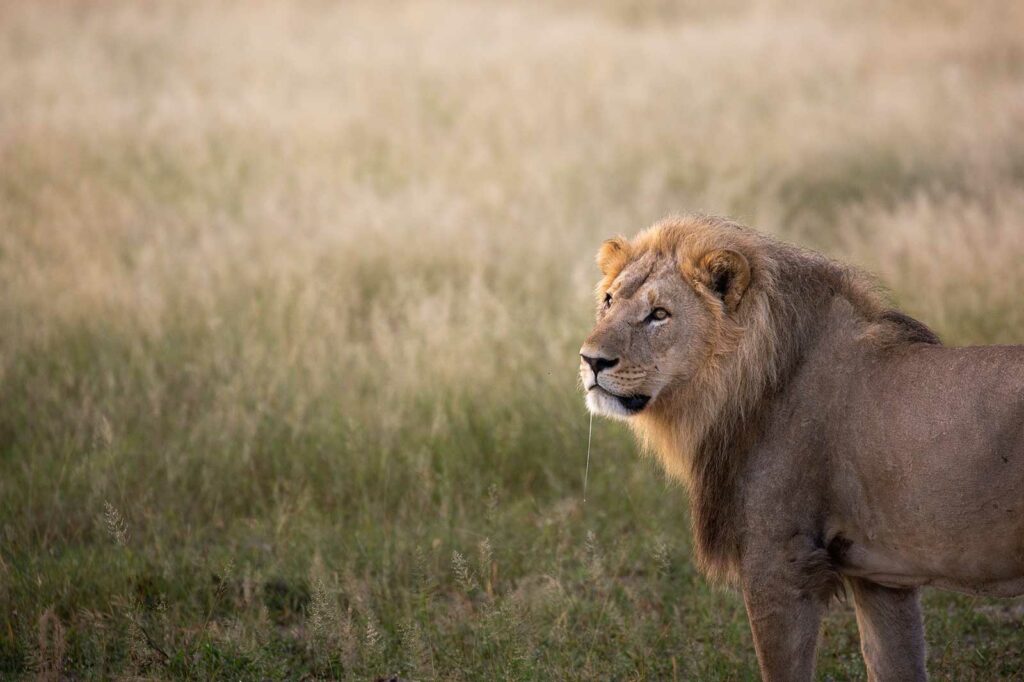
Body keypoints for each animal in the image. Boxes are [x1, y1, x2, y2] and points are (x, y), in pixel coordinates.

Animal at [579, 214, 1024, 681]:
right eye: (608, 301)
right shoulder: (882, 576)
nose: (591, 360)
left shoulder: (779, 562)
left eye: (659, 314)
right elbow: (894, 663)